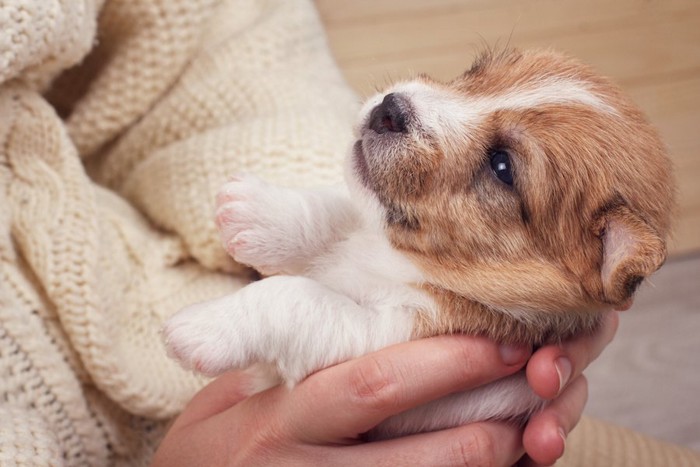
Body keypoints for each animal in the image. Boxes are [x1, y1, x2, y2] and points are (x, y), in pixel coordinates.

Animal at [161, 49, 676, 440]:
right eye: (474, 71)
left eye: (503, 168)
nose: (390, 108)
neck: (406, 262)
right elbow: (333, 212)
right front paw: (255, 208)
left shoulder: (384, 336)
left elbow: (294, 297)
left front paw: (203, 327)